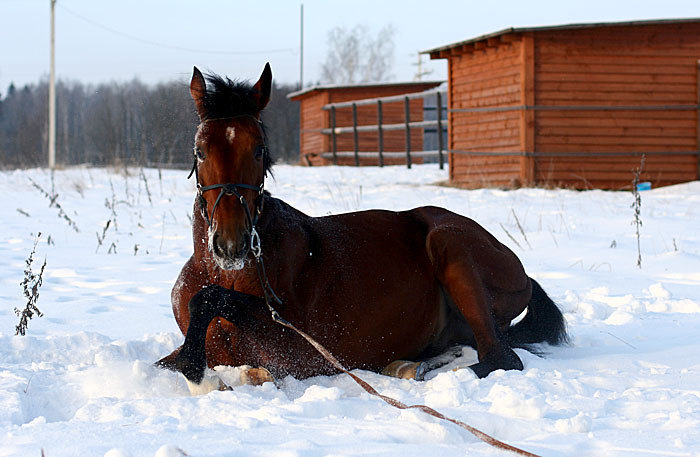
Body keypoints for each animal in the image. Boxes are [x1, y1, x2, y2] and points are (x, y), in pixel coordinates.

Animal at [156, 64, 568, 392]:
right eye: (199, 151)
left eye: (258, 149)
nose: (231, 244)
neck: (230, 272)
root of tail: (522, 272)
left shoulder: (299, 352)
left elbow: (210, 302)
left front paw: (201, 376)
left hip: (449, 242)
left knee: (500, 358)